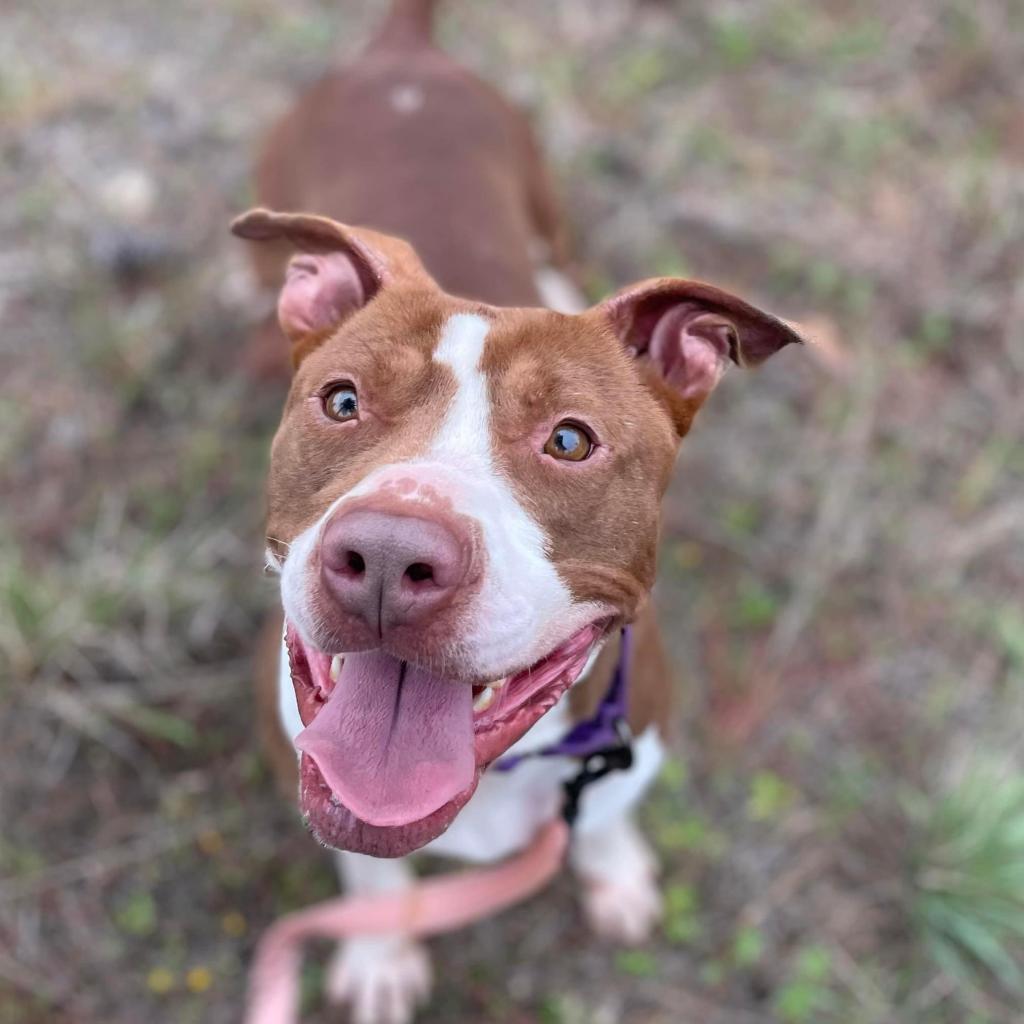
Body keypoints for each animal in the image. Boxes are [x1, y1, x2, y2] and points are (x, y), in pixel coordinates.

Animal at [234, 4, 798, 1019]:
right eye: (342, 401)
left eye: (569, 440)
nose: (389, 557)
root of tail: (403, 53)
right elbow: (369, 869)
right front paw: (380, 951)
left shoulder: (629, 744)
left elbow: (605, 816)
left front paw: (615, 874)